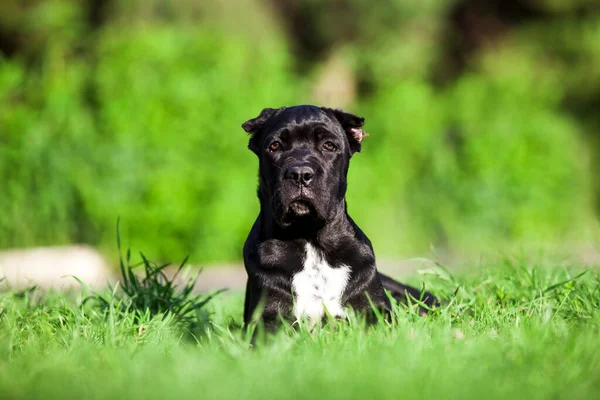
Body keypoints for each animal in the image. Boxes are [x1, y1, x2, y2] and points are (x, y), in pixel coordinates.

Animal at [243, 106, 436, 328]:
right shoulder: (267, 316)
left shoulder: (375, 309)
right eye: (274, 146)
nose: (300, 173)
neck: (310, 237)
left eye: (329, 145)